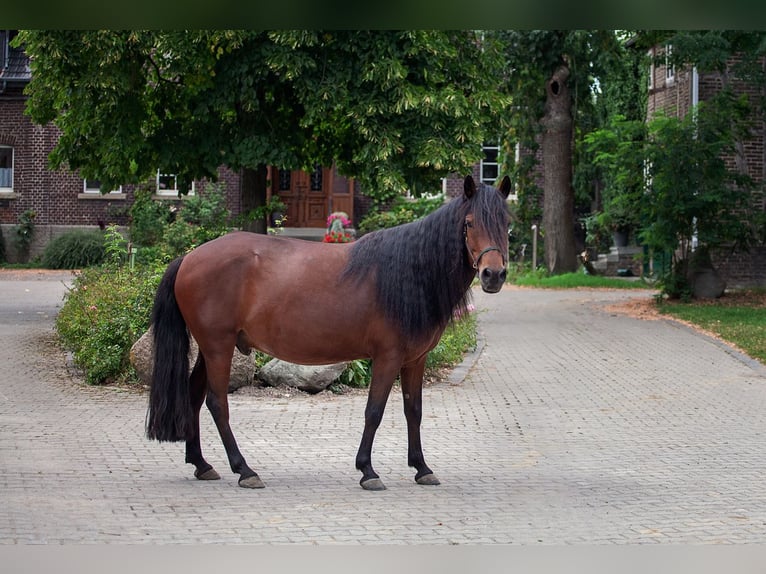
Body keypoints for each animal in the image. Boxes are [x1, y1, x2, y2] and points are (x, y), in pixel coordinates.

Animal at [146, 174, 511, 490]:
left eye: (507, 224)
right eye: (469, 223)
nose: (493, 275)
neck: (407, 272)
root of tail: (189, 257)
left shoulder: (415, 360)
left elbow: (414, 412)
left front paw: (422, 468)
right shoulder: (387, 358)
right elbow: (374, 411)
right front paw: (367, 470)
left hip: (211, 349)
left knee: (194, 395)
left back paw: (202, 464)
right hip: (219, 347)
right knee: (217, 402)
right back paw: (244, 469)